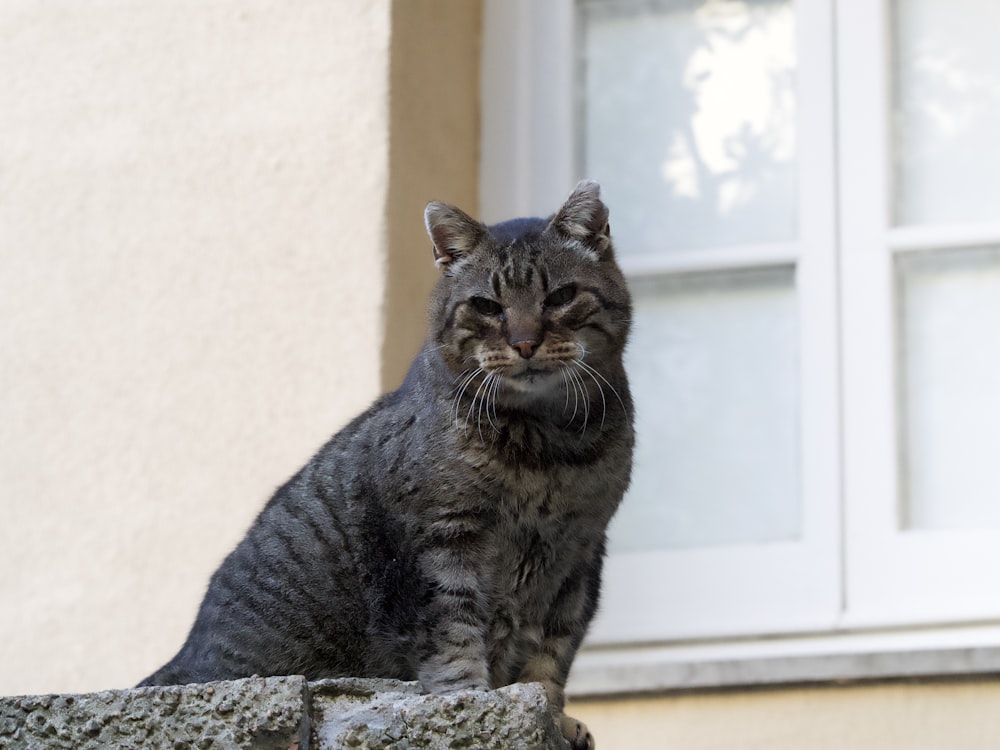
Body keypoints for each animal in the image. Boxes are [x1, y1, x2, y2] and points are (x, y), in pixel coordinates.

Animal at [139, 182, 632, 750]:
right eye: (486, 306)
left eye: (559, 297)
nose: (525, 342)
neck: (548, 450)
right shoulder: (441, 537)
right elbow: (453, 628)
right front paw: (470, 700)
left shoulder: (580, 553)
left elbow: (553, 652)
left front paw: (553, 714)